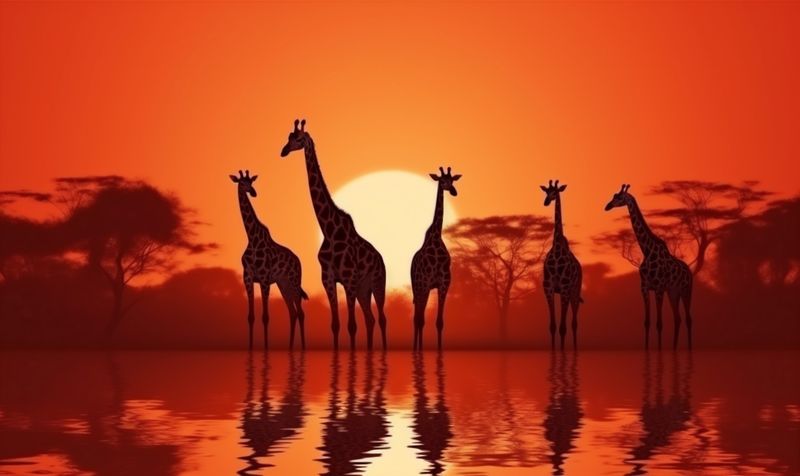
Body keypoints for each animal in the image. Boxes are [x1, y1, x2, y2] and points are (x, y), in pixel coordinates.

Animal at [231, 169, 308, 350]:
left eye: (251, 182)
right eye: (242, 183)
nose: (253, 192)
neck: (252, 238)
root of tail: (298, 261)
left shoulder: (264, 279)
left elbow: (265, 316)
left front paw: (265, 349)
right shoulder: (248, 278)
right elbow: (250, 316)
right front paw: (251, 348)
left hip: (295, 282)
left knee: (301, 313)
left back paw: (302, 347)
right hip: (283, 284)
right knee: (292, 312)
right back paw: (290, 347)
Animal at [280, 119, 388, 351]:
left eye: (298, 139)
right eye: (288, 137)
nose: (283, 151)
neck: (329, 230)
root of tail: (380, 259)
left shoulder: (349, 279)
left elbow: (351, 326)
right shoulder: (328, 279)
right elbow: (336, 325)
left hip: (377, 282)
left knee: (382, 318)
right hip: (363, 289)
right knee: (370, 319)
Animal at [411, 166, 461, 351]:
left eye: (452, 180)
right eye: (442, 180)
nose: (453, 191)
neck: (436, 237)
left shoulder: (444, 284)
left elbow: (439, 322)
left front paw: (440, 351)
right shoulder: (425, 284)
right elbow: (421, 320)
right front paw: (419, 351)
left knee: (419, 316)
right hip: (417, 287)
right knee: (417, 318)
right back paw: (416, 348)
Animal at [605, 184, 693, 349]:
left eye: (619, 197)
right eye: (613, 196)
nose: (607, 206)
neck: (647, 251)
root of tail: (689, 272)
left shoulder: (658, 288)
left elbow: (659, 323)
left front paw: (659, 351)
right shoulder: (645, 287)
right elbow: (647, 322)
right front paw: (647, 350)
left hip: (686, 290)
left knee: (688, 319)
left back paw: (689, 349)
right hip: (673, 292)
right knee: (677, 318)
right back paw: (674, 349)